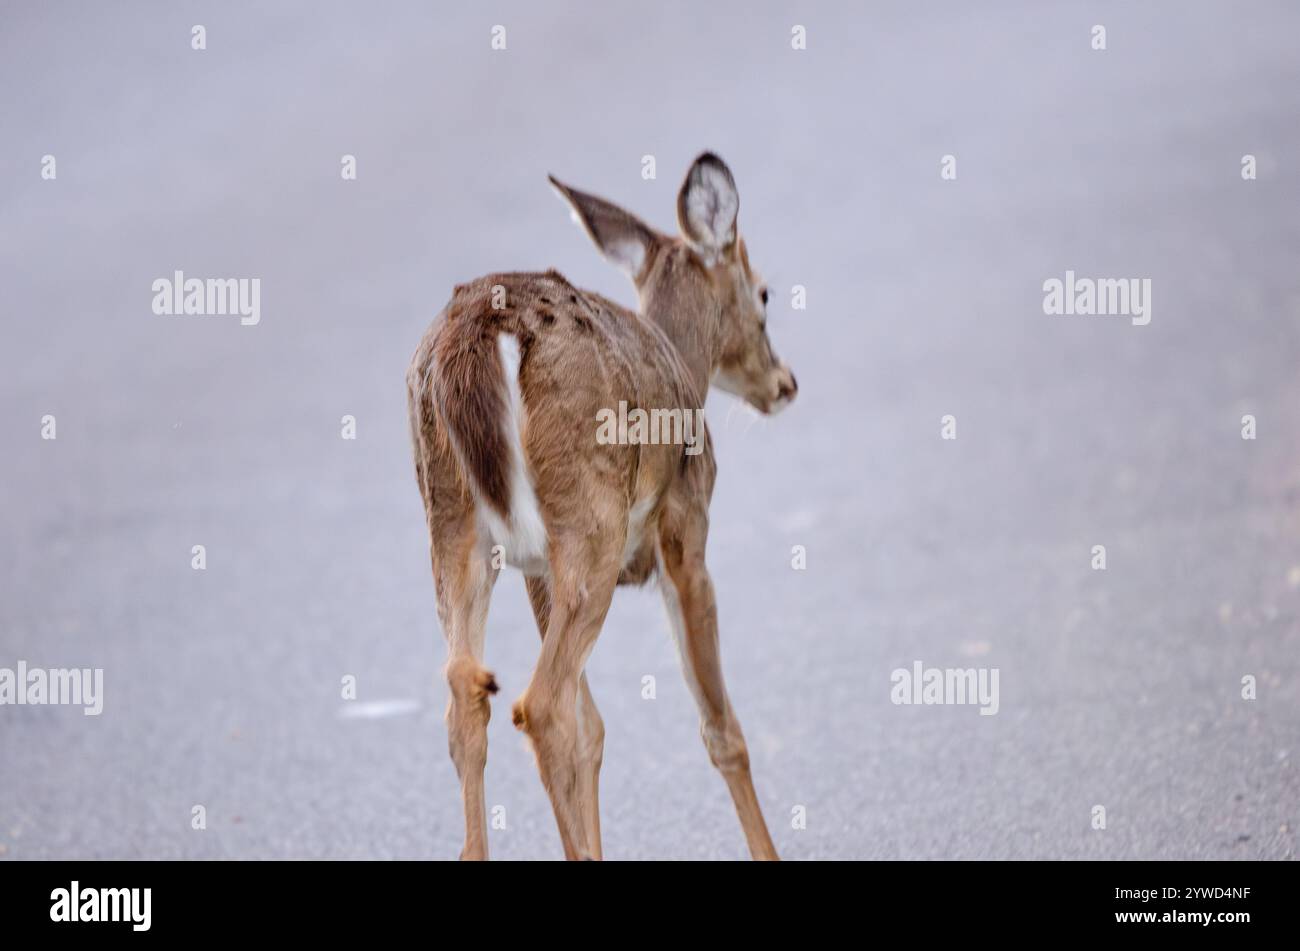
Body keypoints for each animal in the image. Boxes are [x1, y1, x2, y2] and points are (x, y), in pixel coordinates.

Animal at [405, 152, 795, 857]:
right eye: (764, 293)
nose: (785, 382)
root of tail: (480, 332)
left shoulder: (536, 570)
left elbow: (594, 732)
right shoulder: (686, 529)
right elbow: (721, 729)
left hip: (454, 520)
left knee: (468, 690)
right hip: (590, 522)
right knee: (541, 704)